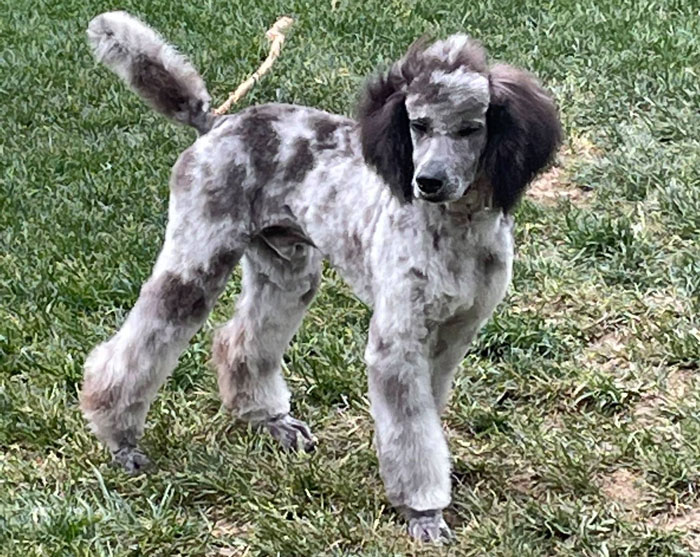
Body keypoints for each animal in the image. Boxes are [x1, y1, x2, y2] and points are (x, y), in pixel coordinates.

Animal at [80, 11, 564, 544]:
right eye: (417, 124)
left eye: (470, 129)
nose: (427, 182)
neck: (453, 230)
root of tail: (217, 122)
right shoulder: (397, 343)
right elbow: (412, 433)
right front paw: (423, 511)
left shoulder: (453, 335)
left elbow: (426, 421)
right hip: (196, 262)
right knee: (130, 355)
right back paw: (120, 438)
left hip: (287, 273)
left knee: (239, 344)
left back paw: (271, 421)